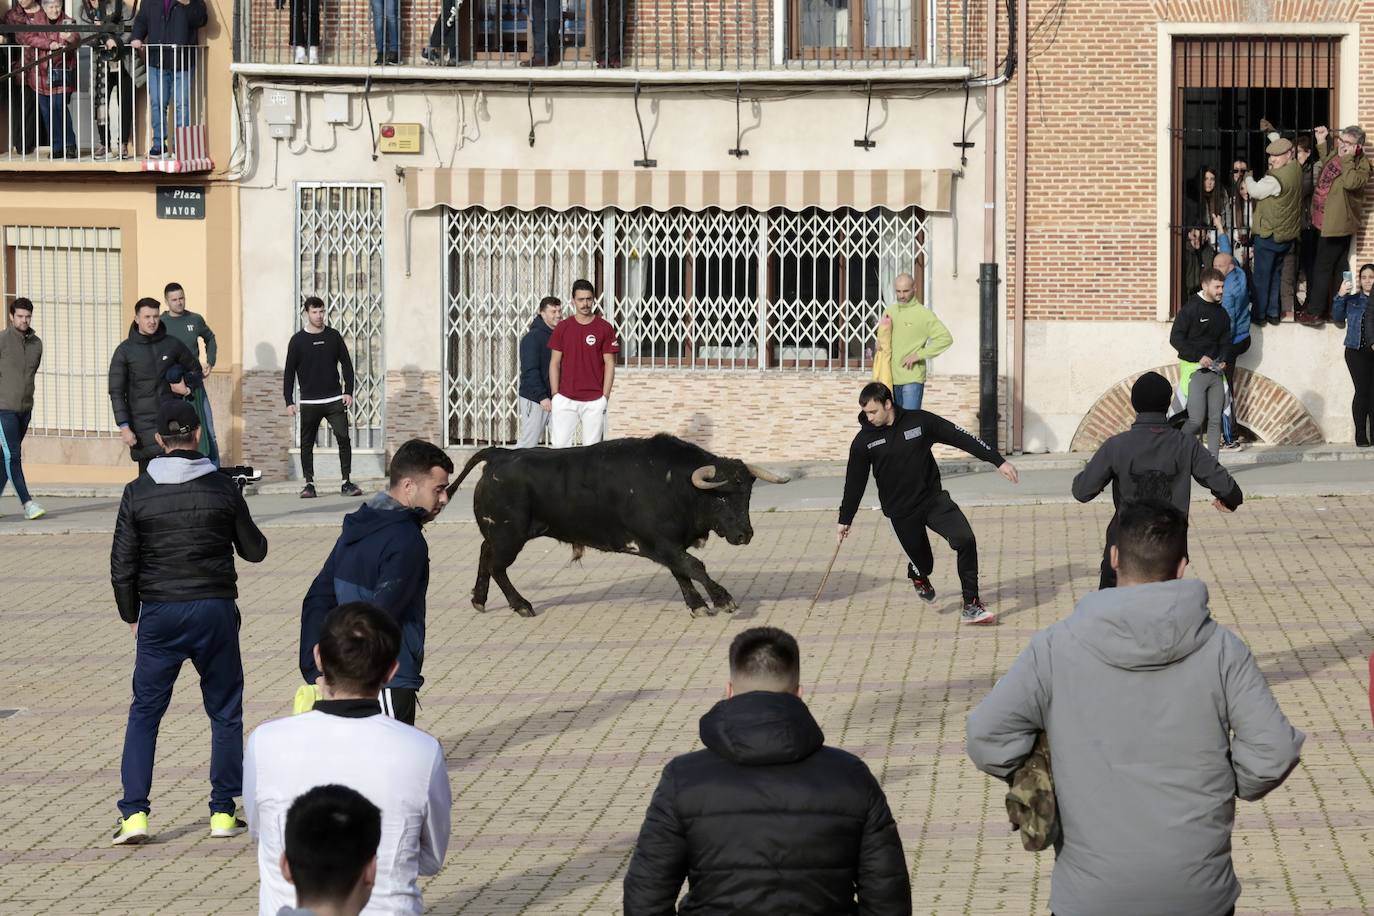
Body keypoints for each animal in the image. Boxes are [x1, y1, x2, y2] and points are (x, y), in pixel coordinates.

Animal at [447, 433, 796, 620]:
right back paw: (521, 605)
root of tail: (499, 454)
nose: (744, 535)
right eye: (721, 497)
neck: (673, 482)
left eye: (747, 494)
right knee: (497, 565)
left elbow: (683, 572)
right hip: (510, 536)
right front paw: (723, 600)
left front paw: (697, 605)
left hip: (502, 535)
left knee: (485, 554)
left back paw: (479, 600)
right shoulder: (659, 542)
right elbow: (694, 566)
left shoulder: (670, 544)